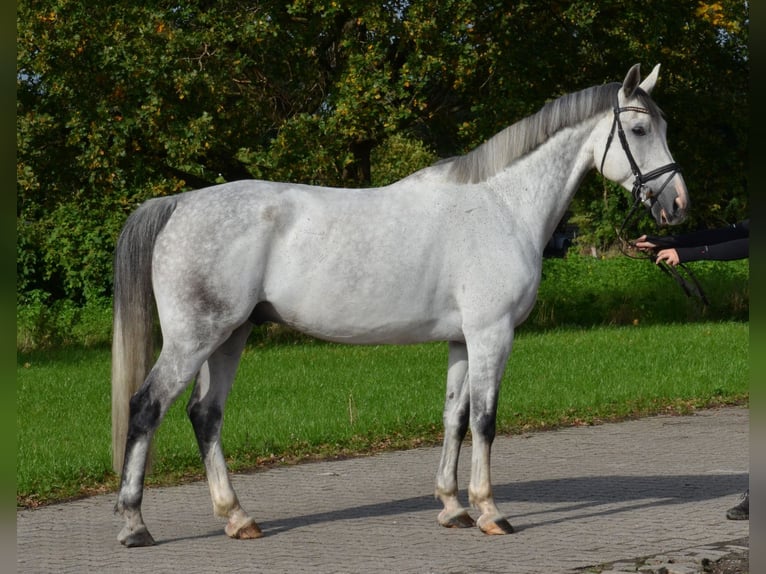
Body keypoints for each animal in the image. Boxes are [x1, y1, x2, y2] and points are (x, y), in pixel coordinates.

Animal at [112, 64, 688, 546]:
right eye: (640, 131)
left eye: (664, 125)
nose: (677, 204)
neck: (502, 204)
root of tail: (180, 203)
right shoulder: (492, 333)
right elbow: (485, 420)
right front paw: (490, 511)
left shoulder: (462, 340)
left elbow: (455, 417)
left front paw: (452, 507)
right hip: (195, 338)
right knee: (147, 407)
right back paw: (135, 524)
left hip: (230, 336)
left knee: (205, 415)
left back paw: (237, 518)